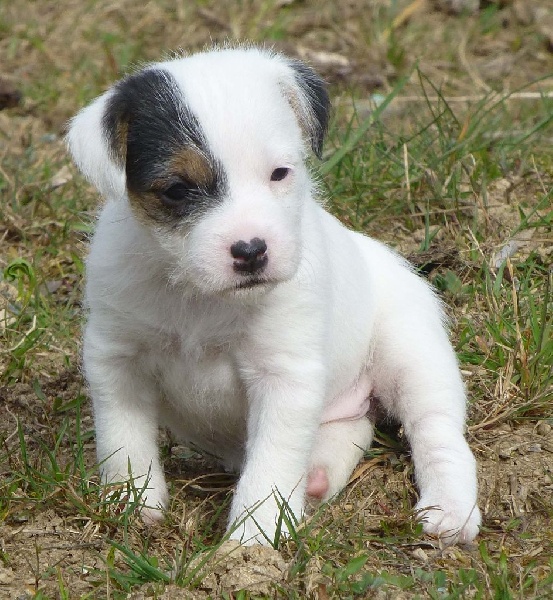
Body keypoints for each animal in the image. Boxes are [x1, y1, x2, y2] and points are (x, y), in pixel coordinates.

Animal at [66, 45, 478, 544]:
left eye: (280, 173)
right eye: (178, 189)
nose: (251, 250)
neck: (203, 297)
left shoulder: (284, 375)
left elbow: (272, 461)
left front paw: (253, 536)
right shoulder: (117, 359)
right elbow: (123, 437)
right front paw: (131, 499)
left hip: (412, 354)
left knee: (437, 431)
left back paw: (450, 509)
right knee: (353, 428)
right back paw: (317, 477)